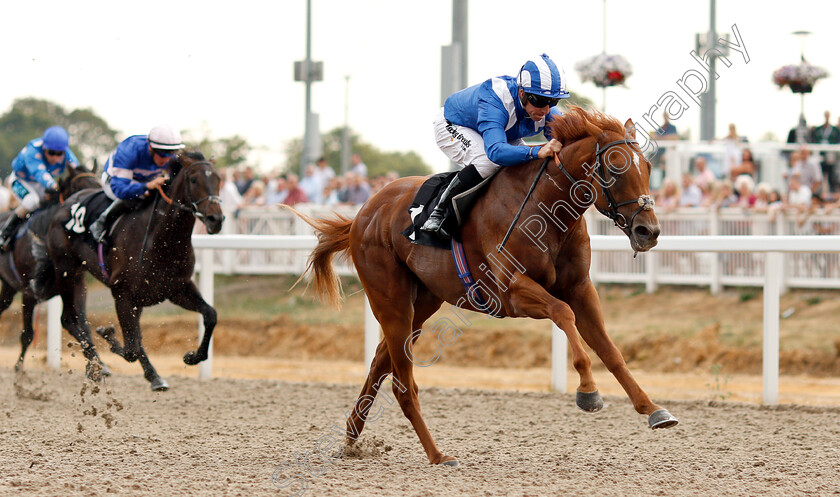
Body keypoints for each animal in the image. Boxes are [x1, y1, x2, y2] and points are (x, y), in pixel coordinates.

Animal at [0, 165, 102, 374]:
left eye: (99, 184)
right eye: (80, 188)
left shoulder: (78, 284)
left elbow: (83, 324)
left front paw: (98, 365)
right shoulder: (29, 292)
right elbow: (27, 334)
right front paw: (18, 369)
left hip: (8, 287)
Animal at [32, 149, 225, 390]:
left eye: (217, 179)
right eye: (194, 179)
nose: (216, 219)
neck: (162, 240)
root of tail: (63, 206)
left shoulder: (177, 289)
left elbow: (210, 315)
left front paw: (193, 356)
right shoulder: (122, 294)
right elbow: (131, 347)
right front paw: (107, 334)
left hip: (82, 277)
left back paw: (149, 375)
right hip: (66, 270)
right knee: (69, 318)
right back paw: (100, 366)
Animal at [288, 107, 676, 464]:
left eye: (647, 168)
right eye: (615, 168)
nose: (649, 231)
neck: (548, 207)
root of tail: (363, 213)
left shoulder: (580, 287)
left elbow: (610, 349)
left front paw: (653, 409)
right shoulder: (510, 292)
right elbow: (562, 314)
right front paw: (588, 391)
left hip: (421, 304)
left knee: (380, 363)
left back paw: (351, 441)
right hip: (391, 300)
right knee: (402, 384)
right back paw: (437, 454)